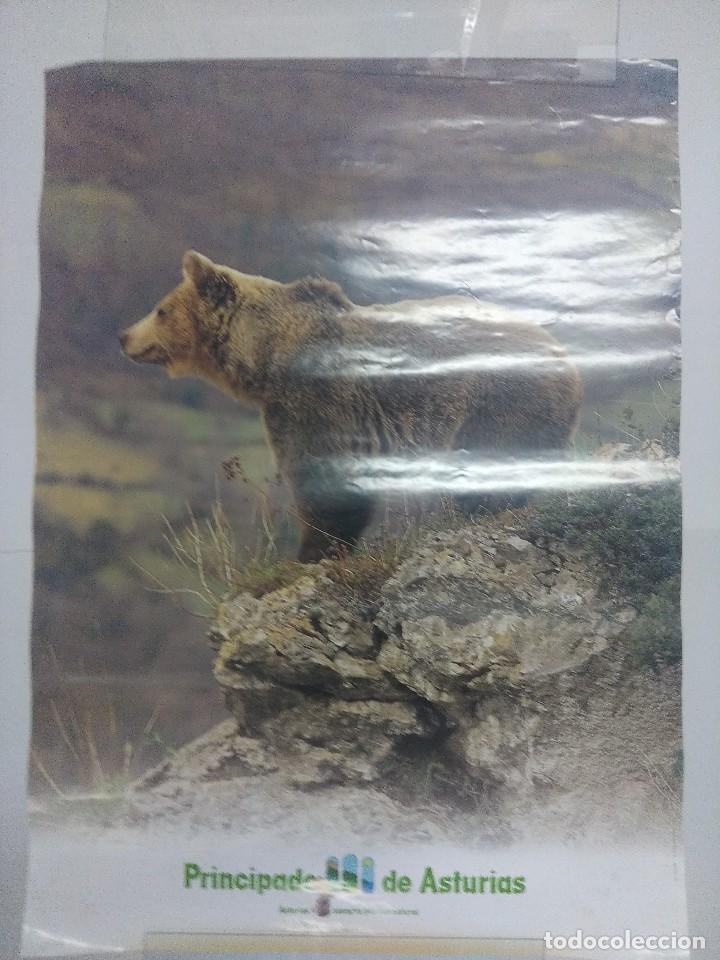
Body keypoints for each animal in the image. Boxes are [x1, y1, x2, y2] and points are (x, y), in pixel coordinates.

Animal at [120, 251, 582, 562]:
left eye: (160, 310)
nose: (124, 336)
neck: (265, 356)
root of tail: (568, 361)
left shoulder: (313, 400)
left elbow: (325, 477)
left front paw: (312, 551)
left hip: (498, 400)